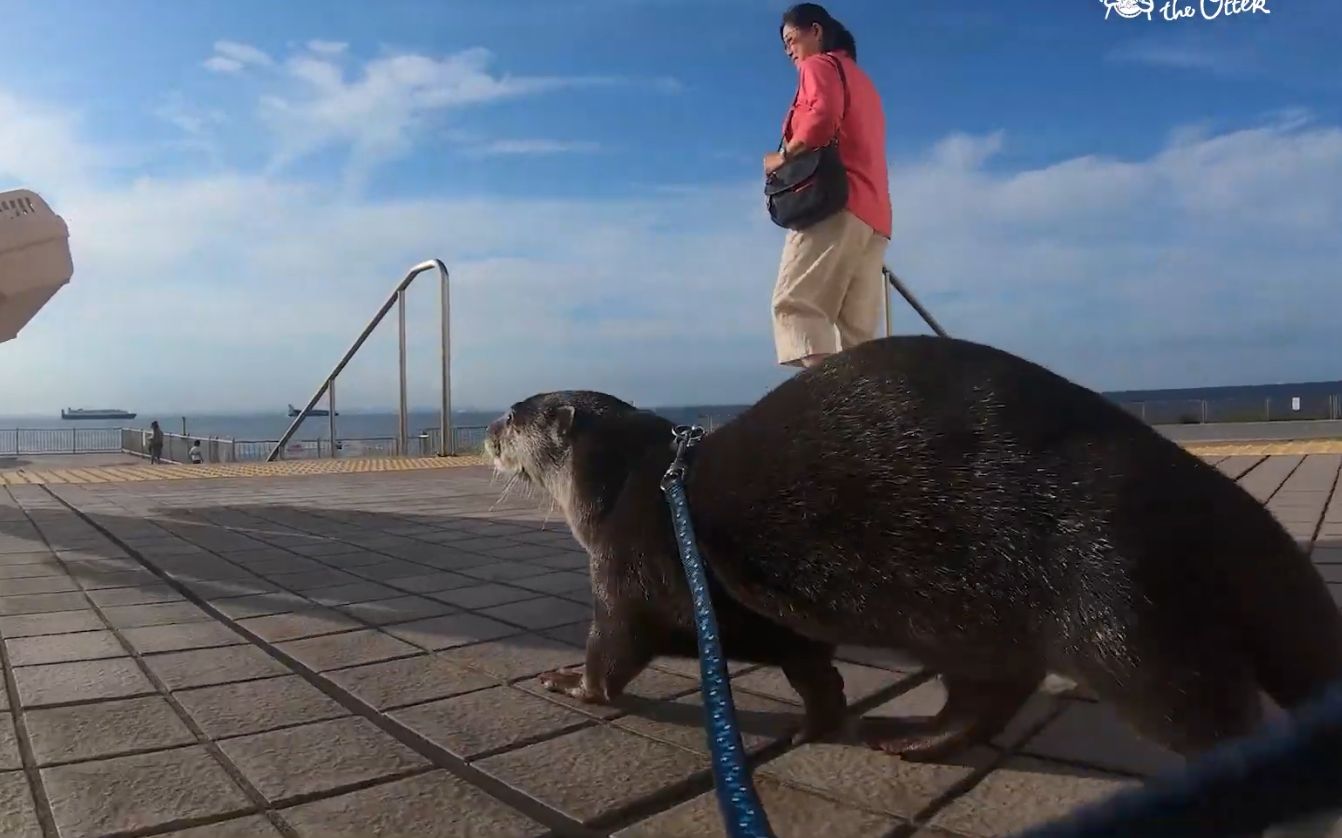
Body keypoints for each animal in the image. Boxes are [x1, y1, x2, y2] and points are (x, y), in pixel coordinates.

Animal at [488, 331, 1342, 757]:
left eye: (512, 413)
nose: (490, 434)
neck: (635, 486)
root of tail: (1198, 497)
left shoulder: (630, 570)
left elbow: (614, 651)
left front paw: (570, 681)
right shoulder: (769, 618)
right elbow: (814, 669)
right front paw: (819, 724)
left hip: (1118, 605)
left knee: (1199, 713)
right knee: (993, 692)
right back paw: (913, 737)